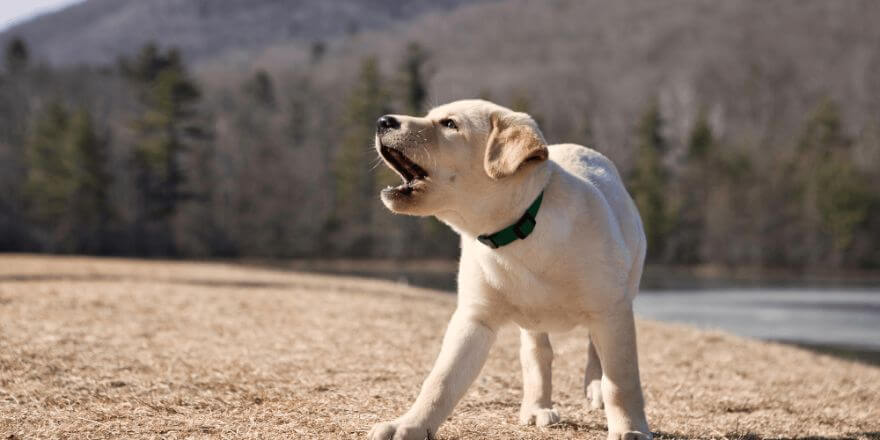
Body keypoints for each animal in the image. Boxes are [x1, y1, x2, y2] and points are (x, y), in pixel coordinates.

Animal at [368, 99, 648, 440]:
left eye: (449, 124)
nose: (383, 121)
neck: (519, 229)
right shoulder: (475, 318)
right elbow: (441, 380)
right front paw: (410, 425)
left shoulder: (611, 310)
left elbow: (620, 380)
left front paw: (629, 429)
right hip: (534, 321)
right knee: (538, 355)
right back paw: (537, 408)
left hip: (623, 289)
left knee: (595, 351)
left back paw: (594, 388)